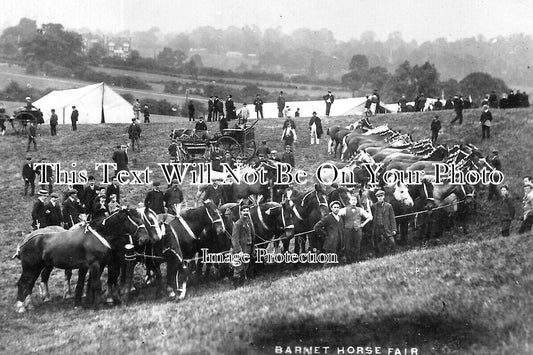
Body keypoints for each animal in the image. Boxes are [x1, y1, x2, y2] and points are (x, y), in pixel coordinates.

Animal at [13, 210, 151, 312]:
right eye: (135, 221)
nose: (145, 239)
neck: (99, 235)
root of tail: (24, 241)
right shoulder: (95, 264)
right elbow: (96, 284)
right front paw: (97, 306)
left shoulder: (94, 266)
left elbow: (86, 283)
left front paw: (83, 303)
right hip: (30, 267)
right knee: (23, 283)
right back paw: (21, 307)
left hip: (36, 267)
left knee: (29, 284)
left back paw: (29, 305)